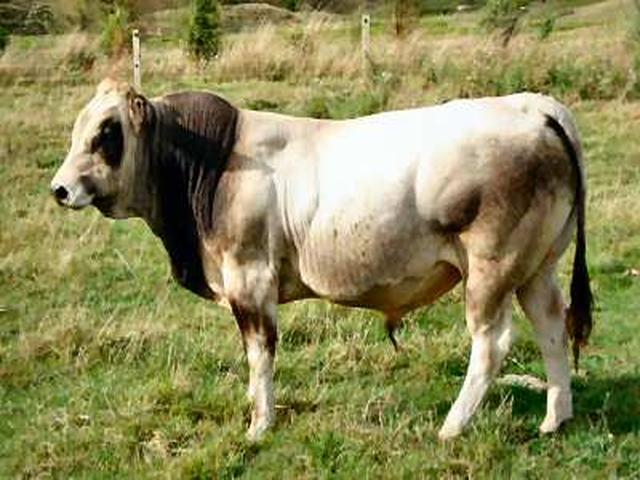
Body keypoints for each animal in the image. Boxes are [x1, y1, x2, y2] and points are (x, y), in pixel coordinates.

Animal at [50, 79, 592, 441]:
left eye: (106, 133)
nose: (60, 188)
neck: (214, 162)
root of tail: (530, 104)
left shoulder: (250, 279)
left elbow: (260, 354)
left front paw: (259, 424)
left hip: (491, 268)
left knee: (492, 343)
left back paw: (453, 426)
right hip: (536, 266)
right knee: (551, 326)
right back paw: (555, 418)